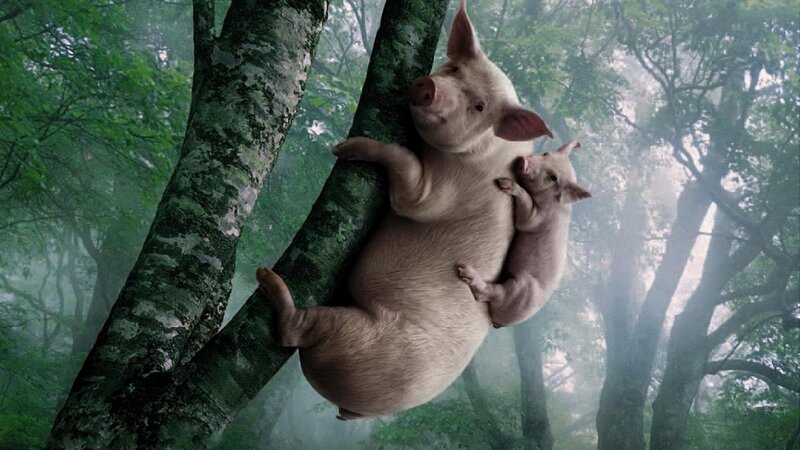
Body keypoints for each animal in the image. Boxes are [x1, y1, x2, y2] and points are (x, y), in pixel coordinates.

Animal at [256, 0, 552, 421]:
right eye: (455, 69)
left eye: (479, 107)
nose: (430, 87)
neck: (483, 155)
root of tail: (358, 407)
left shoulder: (443, 190)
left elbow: (408, 182)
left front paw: (343, 149)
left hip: (358, 339)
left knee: (294, 332)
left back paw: (268, 279)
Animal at [456, 140, 591, 327]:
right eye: (546, 154)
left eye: (553, 178)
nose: (523, 161)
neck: (554, 202)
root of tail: (501, 322)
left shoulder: (538, 217)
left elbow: (524, 217)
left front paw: (504, 183)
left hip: (519, 291)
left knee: (488, 294)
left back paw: (464, 271)